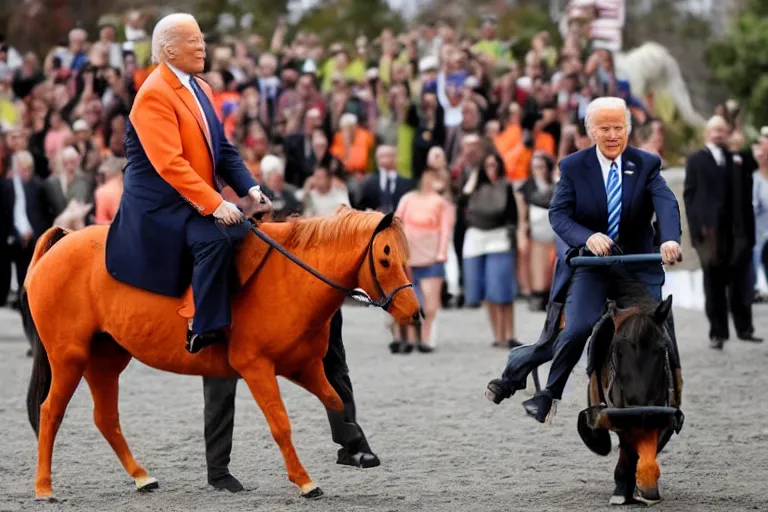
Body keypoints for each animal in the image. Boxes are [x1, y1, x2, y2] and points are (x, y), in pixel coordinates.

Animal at [22, 205, 420, 500]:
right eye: (385, 258)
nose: (414, 313)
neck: (290, 278)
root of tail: (64, 239)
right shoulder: (256, 367)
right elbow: (281, 425)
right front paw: (305, 480)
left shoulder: (303, 367)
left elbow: (335, 400)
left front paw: (353, 444)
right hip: (69, 359)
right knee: (50, 413)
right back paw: (44, 487)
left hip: (106, 360)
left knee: (105, 419)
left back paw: (141, 476)